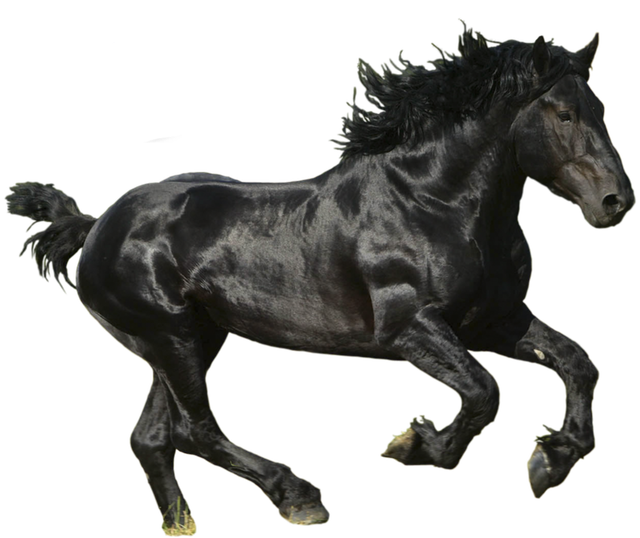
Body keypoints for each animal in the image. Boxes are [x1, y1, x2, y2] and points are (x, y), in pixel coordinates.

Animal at [5, 22, 634, 535]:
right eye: (564, 114)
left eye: (601, 108)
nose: (616, 202)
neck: (433, 202)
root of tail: (96, 228)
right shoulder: (411, 329)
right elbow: (485, 392)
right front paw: (416, 445)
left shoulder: (495, 323)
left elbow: (579, 363)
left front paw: (551, 460)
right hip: (172, 336)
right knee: (194, 431)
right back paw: (299, 497)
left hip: (192, 338)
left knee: (154, 438)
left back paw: (182, 526)